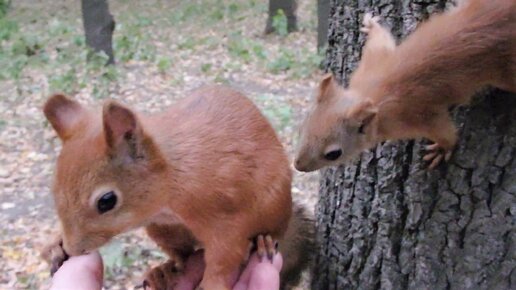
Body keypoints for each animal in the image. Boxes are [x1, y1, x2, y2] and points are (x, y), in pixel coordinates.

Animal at [40, 86, 312, 290]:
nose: (73, 249)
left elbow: (225, 255)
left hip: (274, 207)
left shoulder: (222, 215)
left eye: (106, 201)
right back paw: (163, 273)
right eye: (53, 186)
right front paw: (55, 246)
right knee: (183, 256)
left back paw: (266, 240)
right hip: (163, 231)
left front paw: (212, 284)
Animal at [294, 0, 516, 172]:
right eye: (303, 127)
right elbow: (380, 42)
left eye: (333, 154)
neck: (370, 94)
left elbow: (445, 132)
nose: (298, 166)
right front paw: (371, 26)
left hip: (506, 72)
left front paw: (442, 149)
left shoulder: (416, 116)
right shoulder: (372, 64)